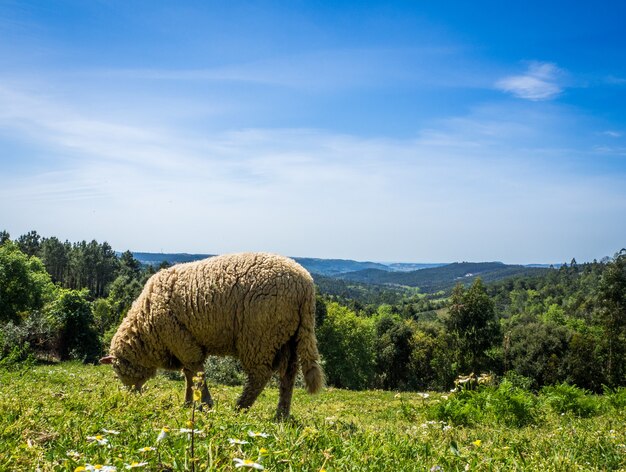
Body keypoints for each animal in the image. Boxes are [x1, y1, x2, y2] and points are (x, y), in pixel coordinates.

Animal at [98, 253, 322, 418]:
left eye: (118, 371)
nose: (132, 397)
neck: (146, 327)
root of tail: (305, 286)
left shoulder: (182, 340)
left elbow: (196, 372)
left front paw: (205, 403)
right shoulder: (185, 343)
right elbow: (189, 374)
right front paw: (189, 402)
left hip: (260, 336)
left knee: (260, 375)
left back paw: (240, 408)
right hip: (288, 337)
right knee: (288, 375)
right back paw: (281, 414)